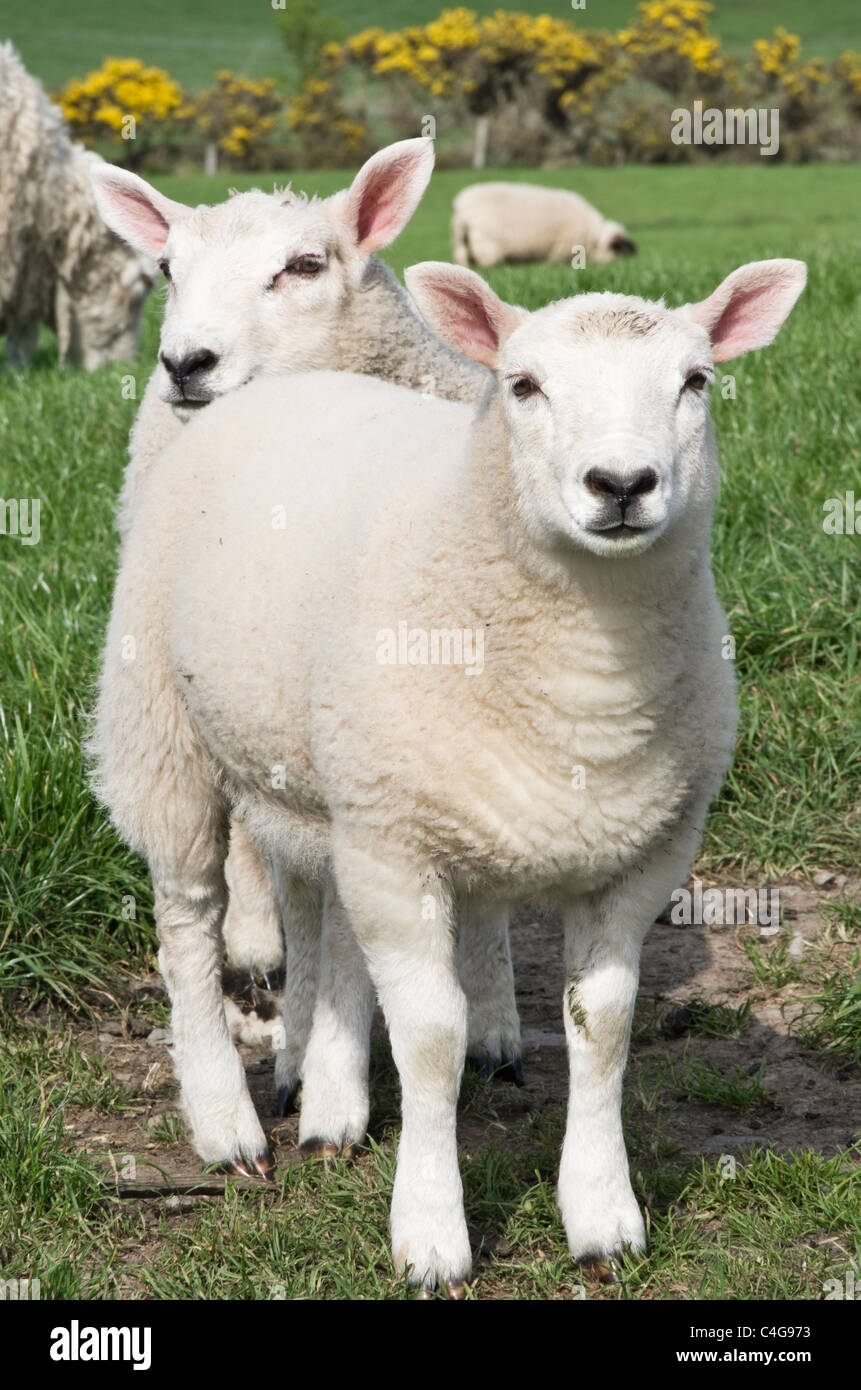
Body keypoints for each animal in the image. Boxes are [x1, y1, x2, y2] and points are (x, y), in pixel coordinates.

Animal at [91, 241, 806, 1289]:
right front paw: (430, 1233)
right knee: (186, 925)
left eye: (695, 381)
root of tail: (287, 381)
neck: (584, 676)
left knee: (317, 908)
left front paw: (602, 1214)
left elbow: (604, 1027)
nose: (620, 483)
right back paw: (227, 1123)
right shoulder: (397, 852)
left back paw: (323, 1083)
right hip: (164, 730)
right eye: (523, 385)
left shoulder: (640, 858)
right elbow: (431, 1037)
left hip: (328, 772)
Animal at [92, 138, 525, 1117]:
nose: (187, 362)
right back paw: (262, 961)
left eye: (303, 266)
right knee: (258, 856)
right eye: (167, 269)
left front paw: (489, 1017)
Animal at [447, 182, 637, 268]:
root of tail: (461, 206)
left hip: (460, 238)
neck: (592, 236)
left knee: (461, 255)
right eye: (618, 247)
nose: (632, 258)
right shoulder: (563, 248)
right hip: (486, 242)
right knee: (487, 260)